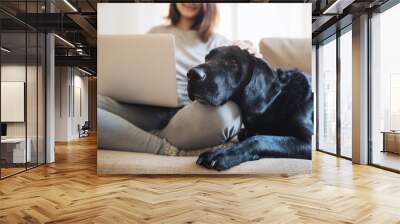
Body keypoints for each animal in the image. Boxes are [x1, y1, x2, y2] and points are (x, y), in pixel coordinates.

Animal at [186, 46, 314, 171]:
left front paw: (221, 154)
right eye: (207, 58)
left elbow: (259, 139)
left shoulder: (308, 140)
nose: (192, 74)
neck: (275, 102)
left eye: (233, 62)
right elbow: (250, 135)